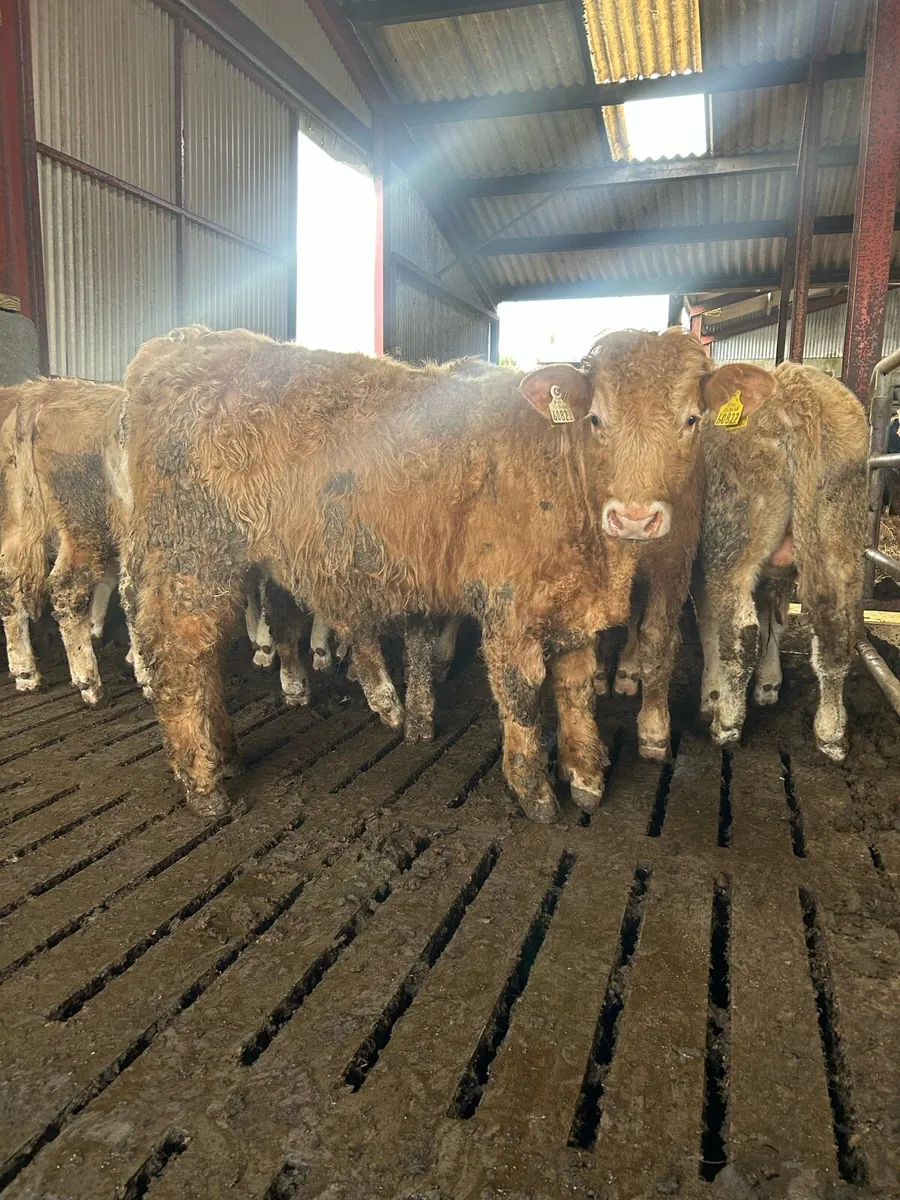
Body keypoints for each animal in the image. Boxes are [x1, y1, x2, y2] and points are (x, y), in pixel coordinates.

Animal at [121, 325, 711, 820]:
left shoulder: (572, 606)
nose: (634, 516)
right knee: (179, 655)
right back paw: (204, 785)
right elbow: (522, 693)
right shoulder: (509, 606)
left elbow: (576, 688)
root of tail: (179, 344)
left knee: (204, 657)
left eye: (691, 419)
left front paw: (585, 774)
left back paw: (224, 755)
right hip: (189, 554)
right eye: (597, 419)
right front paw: (536, 793)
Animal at [691, 361, 867, 760]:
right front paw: (768, 685)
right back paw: (832, 732)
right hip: (839, 538)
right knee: (838, 630)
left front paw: (712, 696)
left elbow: (712, 624)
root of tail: (796, 387)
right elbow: (777, 620)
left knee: (739, 632)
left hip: (731, 543)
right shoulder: (779, 573)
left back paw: (727, 723)